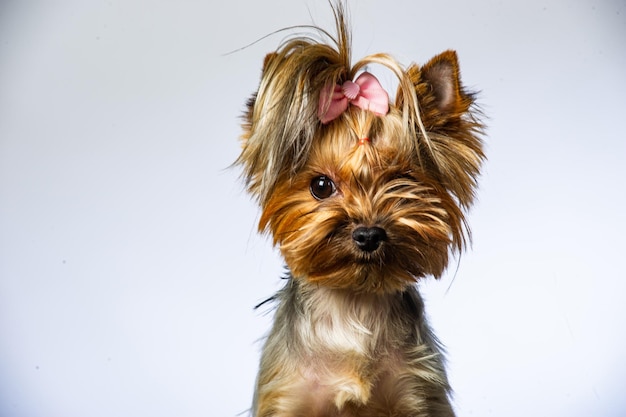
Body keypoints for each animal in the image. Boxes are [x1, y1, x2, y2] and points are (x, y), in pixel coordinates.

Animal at [234, 4, 482, 416]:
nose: (368, 234)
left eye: (401, 179)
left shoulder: (418, 393)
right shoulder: (287, 395)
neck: (354, 306)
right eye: (321, 186)